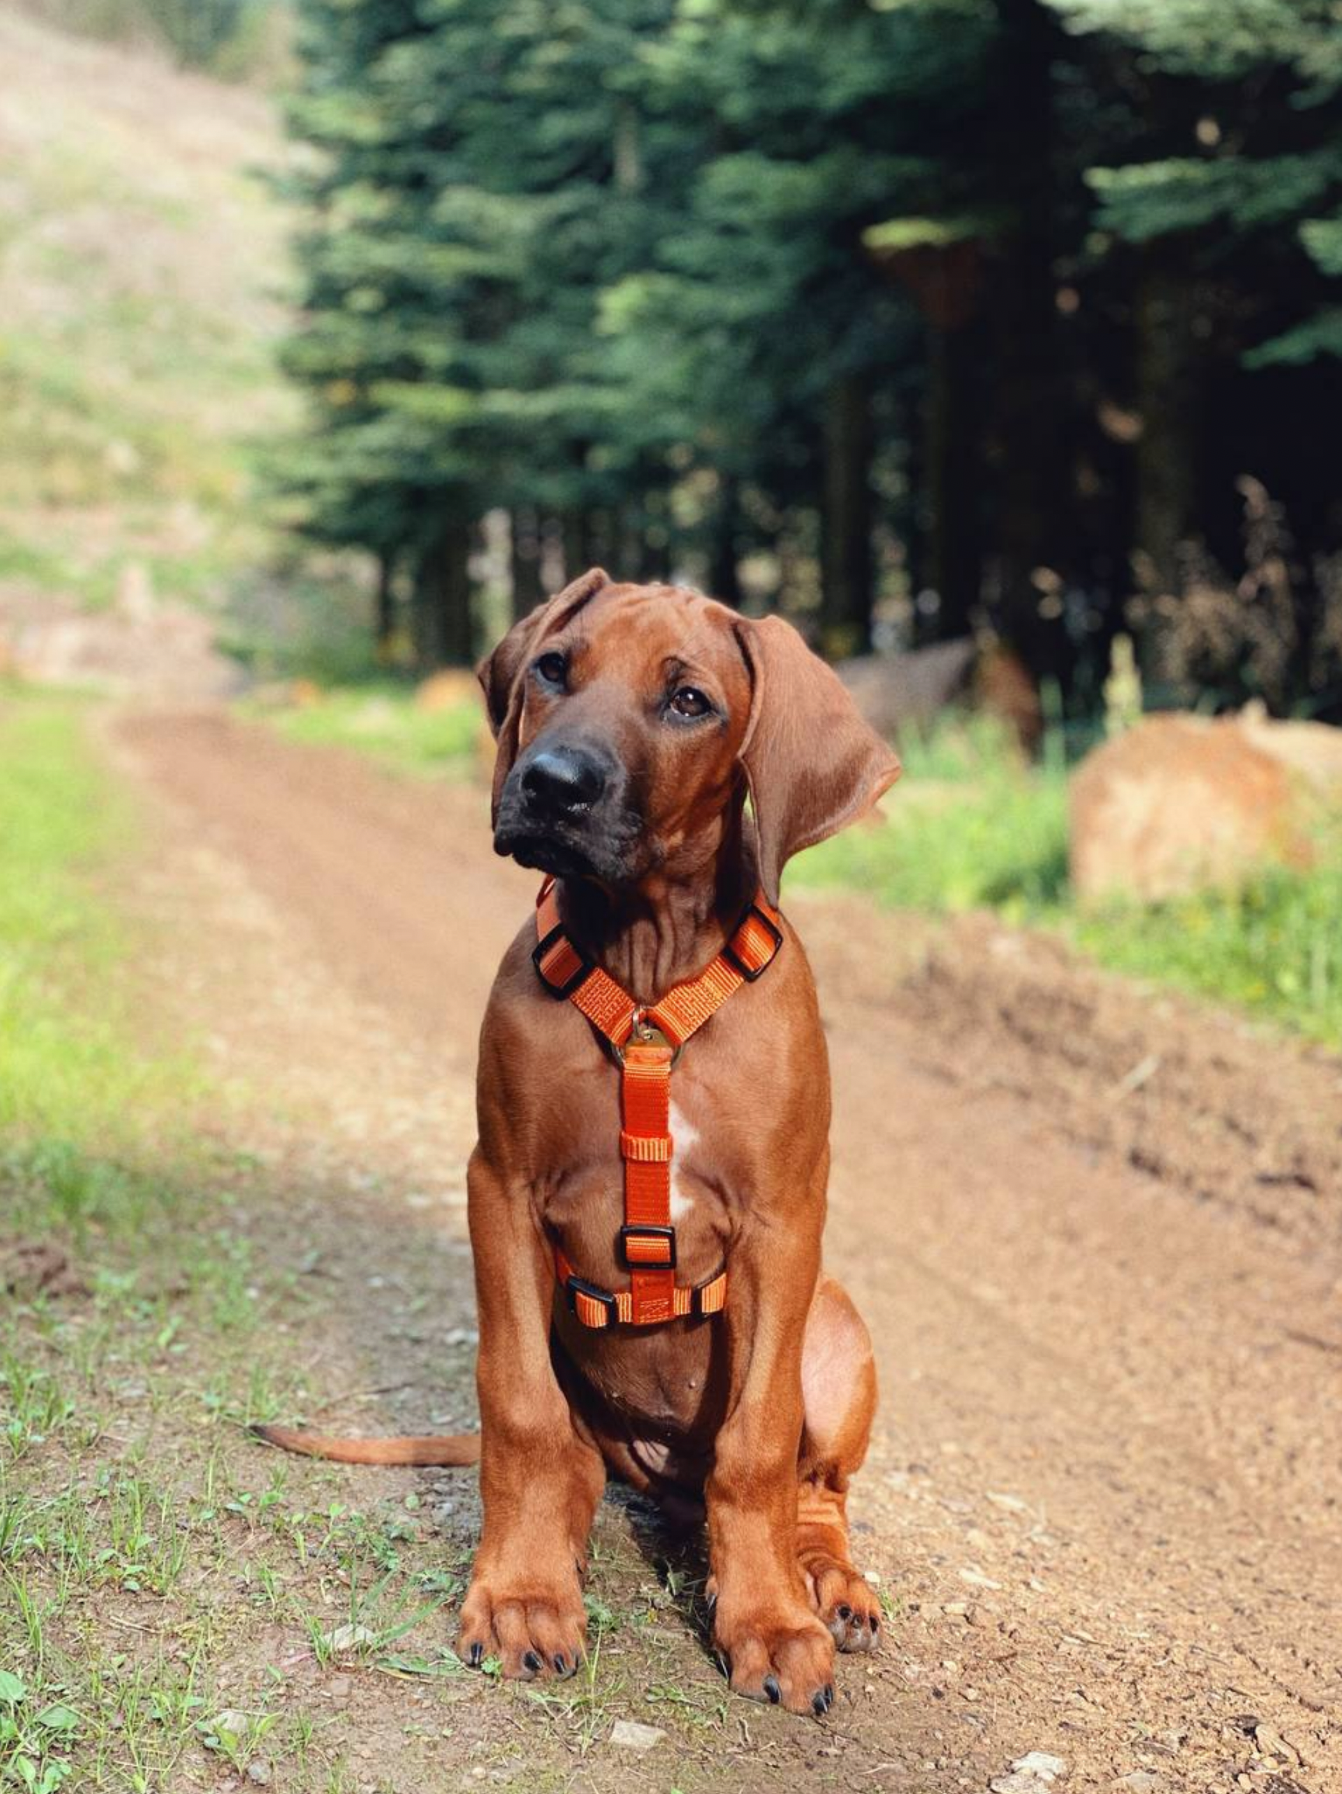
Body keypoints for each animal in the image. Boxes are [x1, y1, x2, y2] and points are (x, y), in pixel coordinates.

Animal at [256, 581, 897, 1715]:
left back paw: (825, 1579)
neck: (644, 972)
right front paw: (520, 1595)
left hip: (838, 1325)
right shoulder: (501, 1186)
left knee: (814, 1484)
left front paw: (771, 1619)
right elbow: (516, 1410)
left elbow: (760, 1443)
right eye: (555, 667)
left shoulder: (784, 1224)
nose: (549, 786)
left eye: (688, 700)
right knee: (573, 1455)